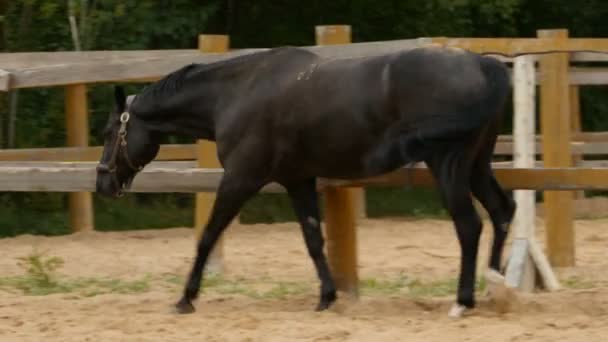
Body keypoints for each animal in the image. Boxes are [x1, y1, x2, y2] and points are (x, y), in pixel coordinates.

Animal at [97, 45, 516, 316]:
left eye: (109, 132)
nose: (103, 184)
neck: (237, 93)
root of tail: (484, 65)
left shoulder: (240, 179)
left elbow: (209, 234)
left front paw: (186, 297)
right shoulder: (297, 180)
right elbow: (313, 238)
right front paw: (326, 297)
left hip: (449, 165)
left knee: (469, 225)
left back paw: (463, 300)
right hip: (477, 165)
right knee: (501, 211)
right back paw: (495, 286)